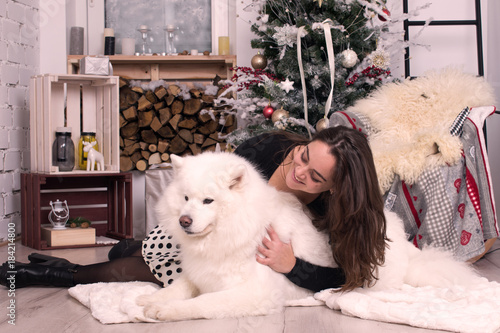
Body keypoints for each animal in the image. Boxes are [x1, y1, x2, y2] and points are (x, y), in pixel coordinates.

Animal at [136, 150, 480, 320]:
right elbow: (178, 287)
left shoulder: (254, 293)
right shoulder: (199, 274)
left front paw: (165, 311)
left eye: (208, 201)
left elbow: (203, 303)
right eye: (185, 198)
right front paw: (148, 299)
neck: (239, 229)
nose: (184, 221)